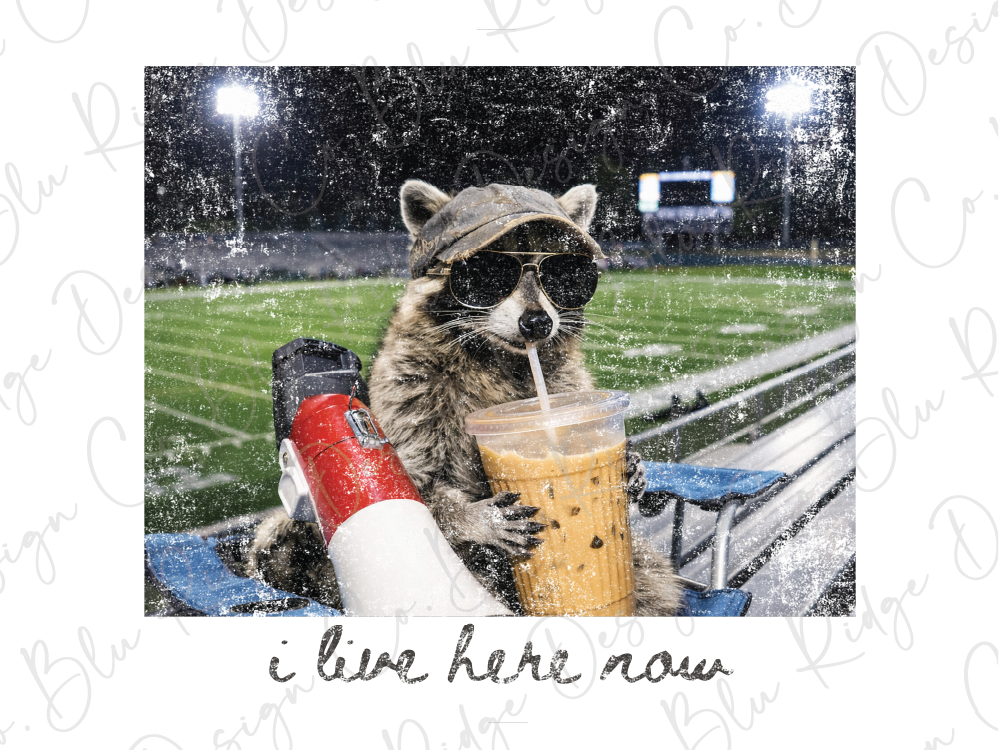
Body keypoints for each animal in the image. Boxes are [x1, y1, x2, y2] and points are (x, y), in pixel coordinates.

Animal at [244, 181, 683, 617]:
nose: (537, 323)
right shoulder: (409, 384)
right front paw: (468, 515)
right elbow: (416, 482)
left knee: (652, 579)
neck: (501, 358)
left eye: (565, 273)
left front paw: (631, 465)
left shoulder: (562, 381)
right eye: (486, 273)